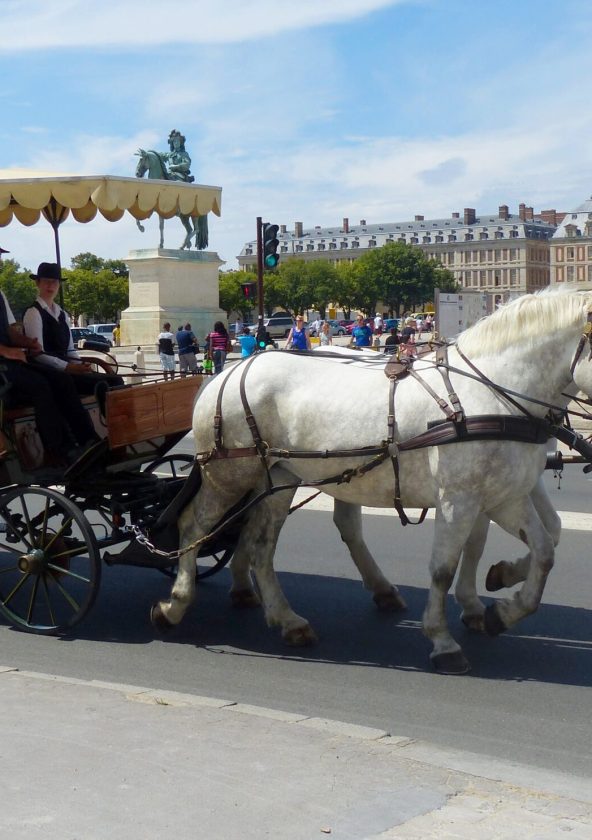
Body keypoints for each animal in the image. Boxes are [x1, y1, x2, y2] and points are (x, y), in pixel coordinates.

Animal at [154, 292, 592, 672]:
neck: (491, 394)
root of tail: (225, 371)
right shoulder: (460, 499)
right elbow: (444, 567)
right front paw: (443, 639)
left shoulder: (504, 496)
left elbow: (543, 549)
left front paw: (502, 606)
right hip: (229, 477)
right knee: (194, 526)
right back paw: (176, 604)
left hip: (278, 477)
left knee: (262, 543)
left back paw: (287, 617)